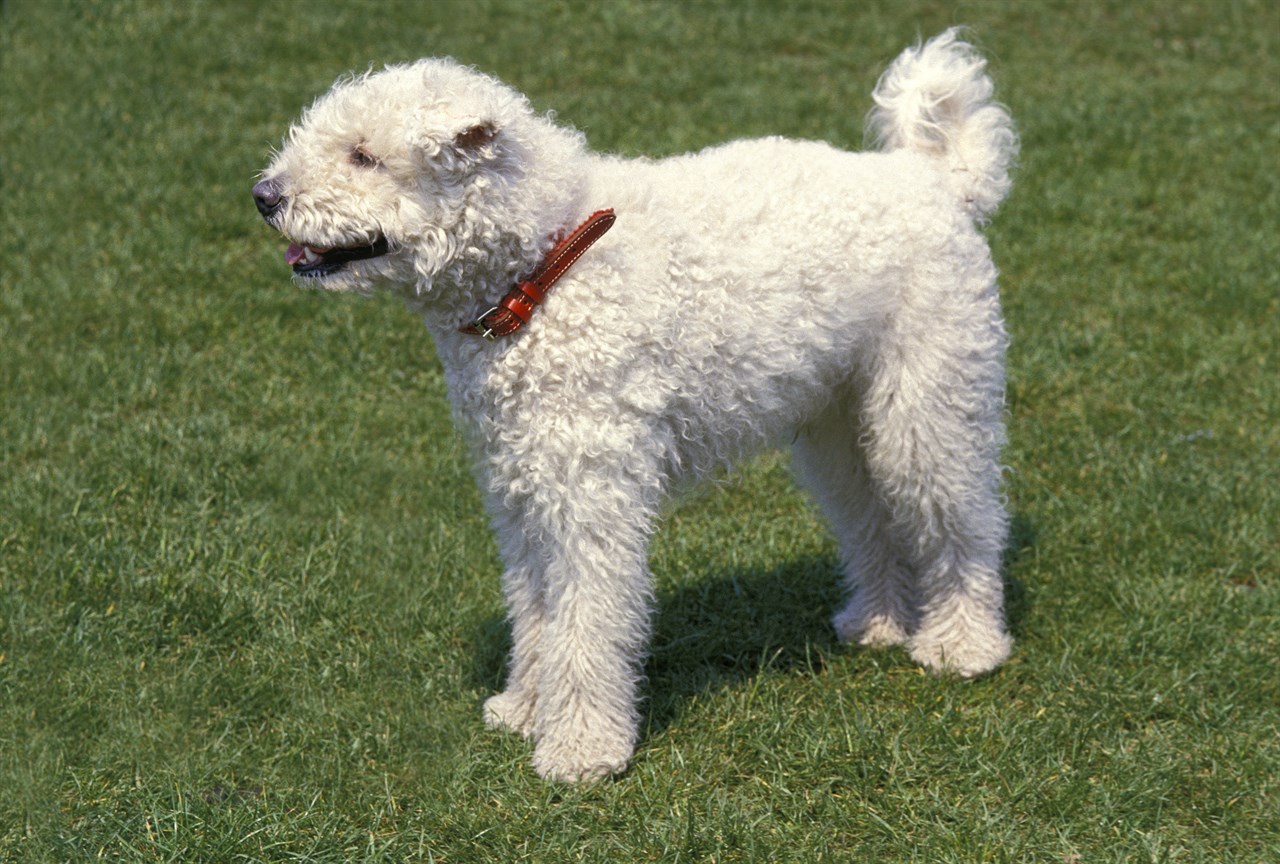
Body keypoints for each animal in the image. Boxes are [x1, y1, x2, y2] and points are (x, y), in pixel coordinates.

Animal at [254, 28, 1018, 783]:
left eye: (364, 155)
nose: (263, 195)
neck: (547, 267)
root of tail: (933, 179)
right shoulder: (522, 487)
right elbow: (536, 611)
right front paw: (524, 708)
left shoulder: (590, 491)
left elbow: (587, 621)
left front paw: (580, 749)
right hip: (840, 425)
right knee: (874, 519)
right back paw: (879, 624)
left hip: (929, 404)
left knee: (965, 521)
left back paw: (963, 645)